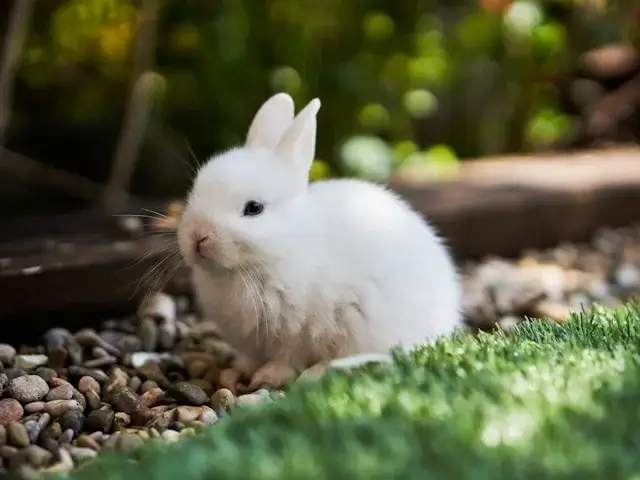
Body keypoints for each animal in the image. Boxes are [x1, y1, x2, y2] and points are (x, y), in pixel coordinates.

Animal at [177, 92, 463, 390]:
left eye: (254, 208)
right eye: (195, 190)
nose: (197, 236)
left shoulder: (298, 331)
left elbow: (289, 357)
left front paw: (269, 376)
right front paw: (235, 371)